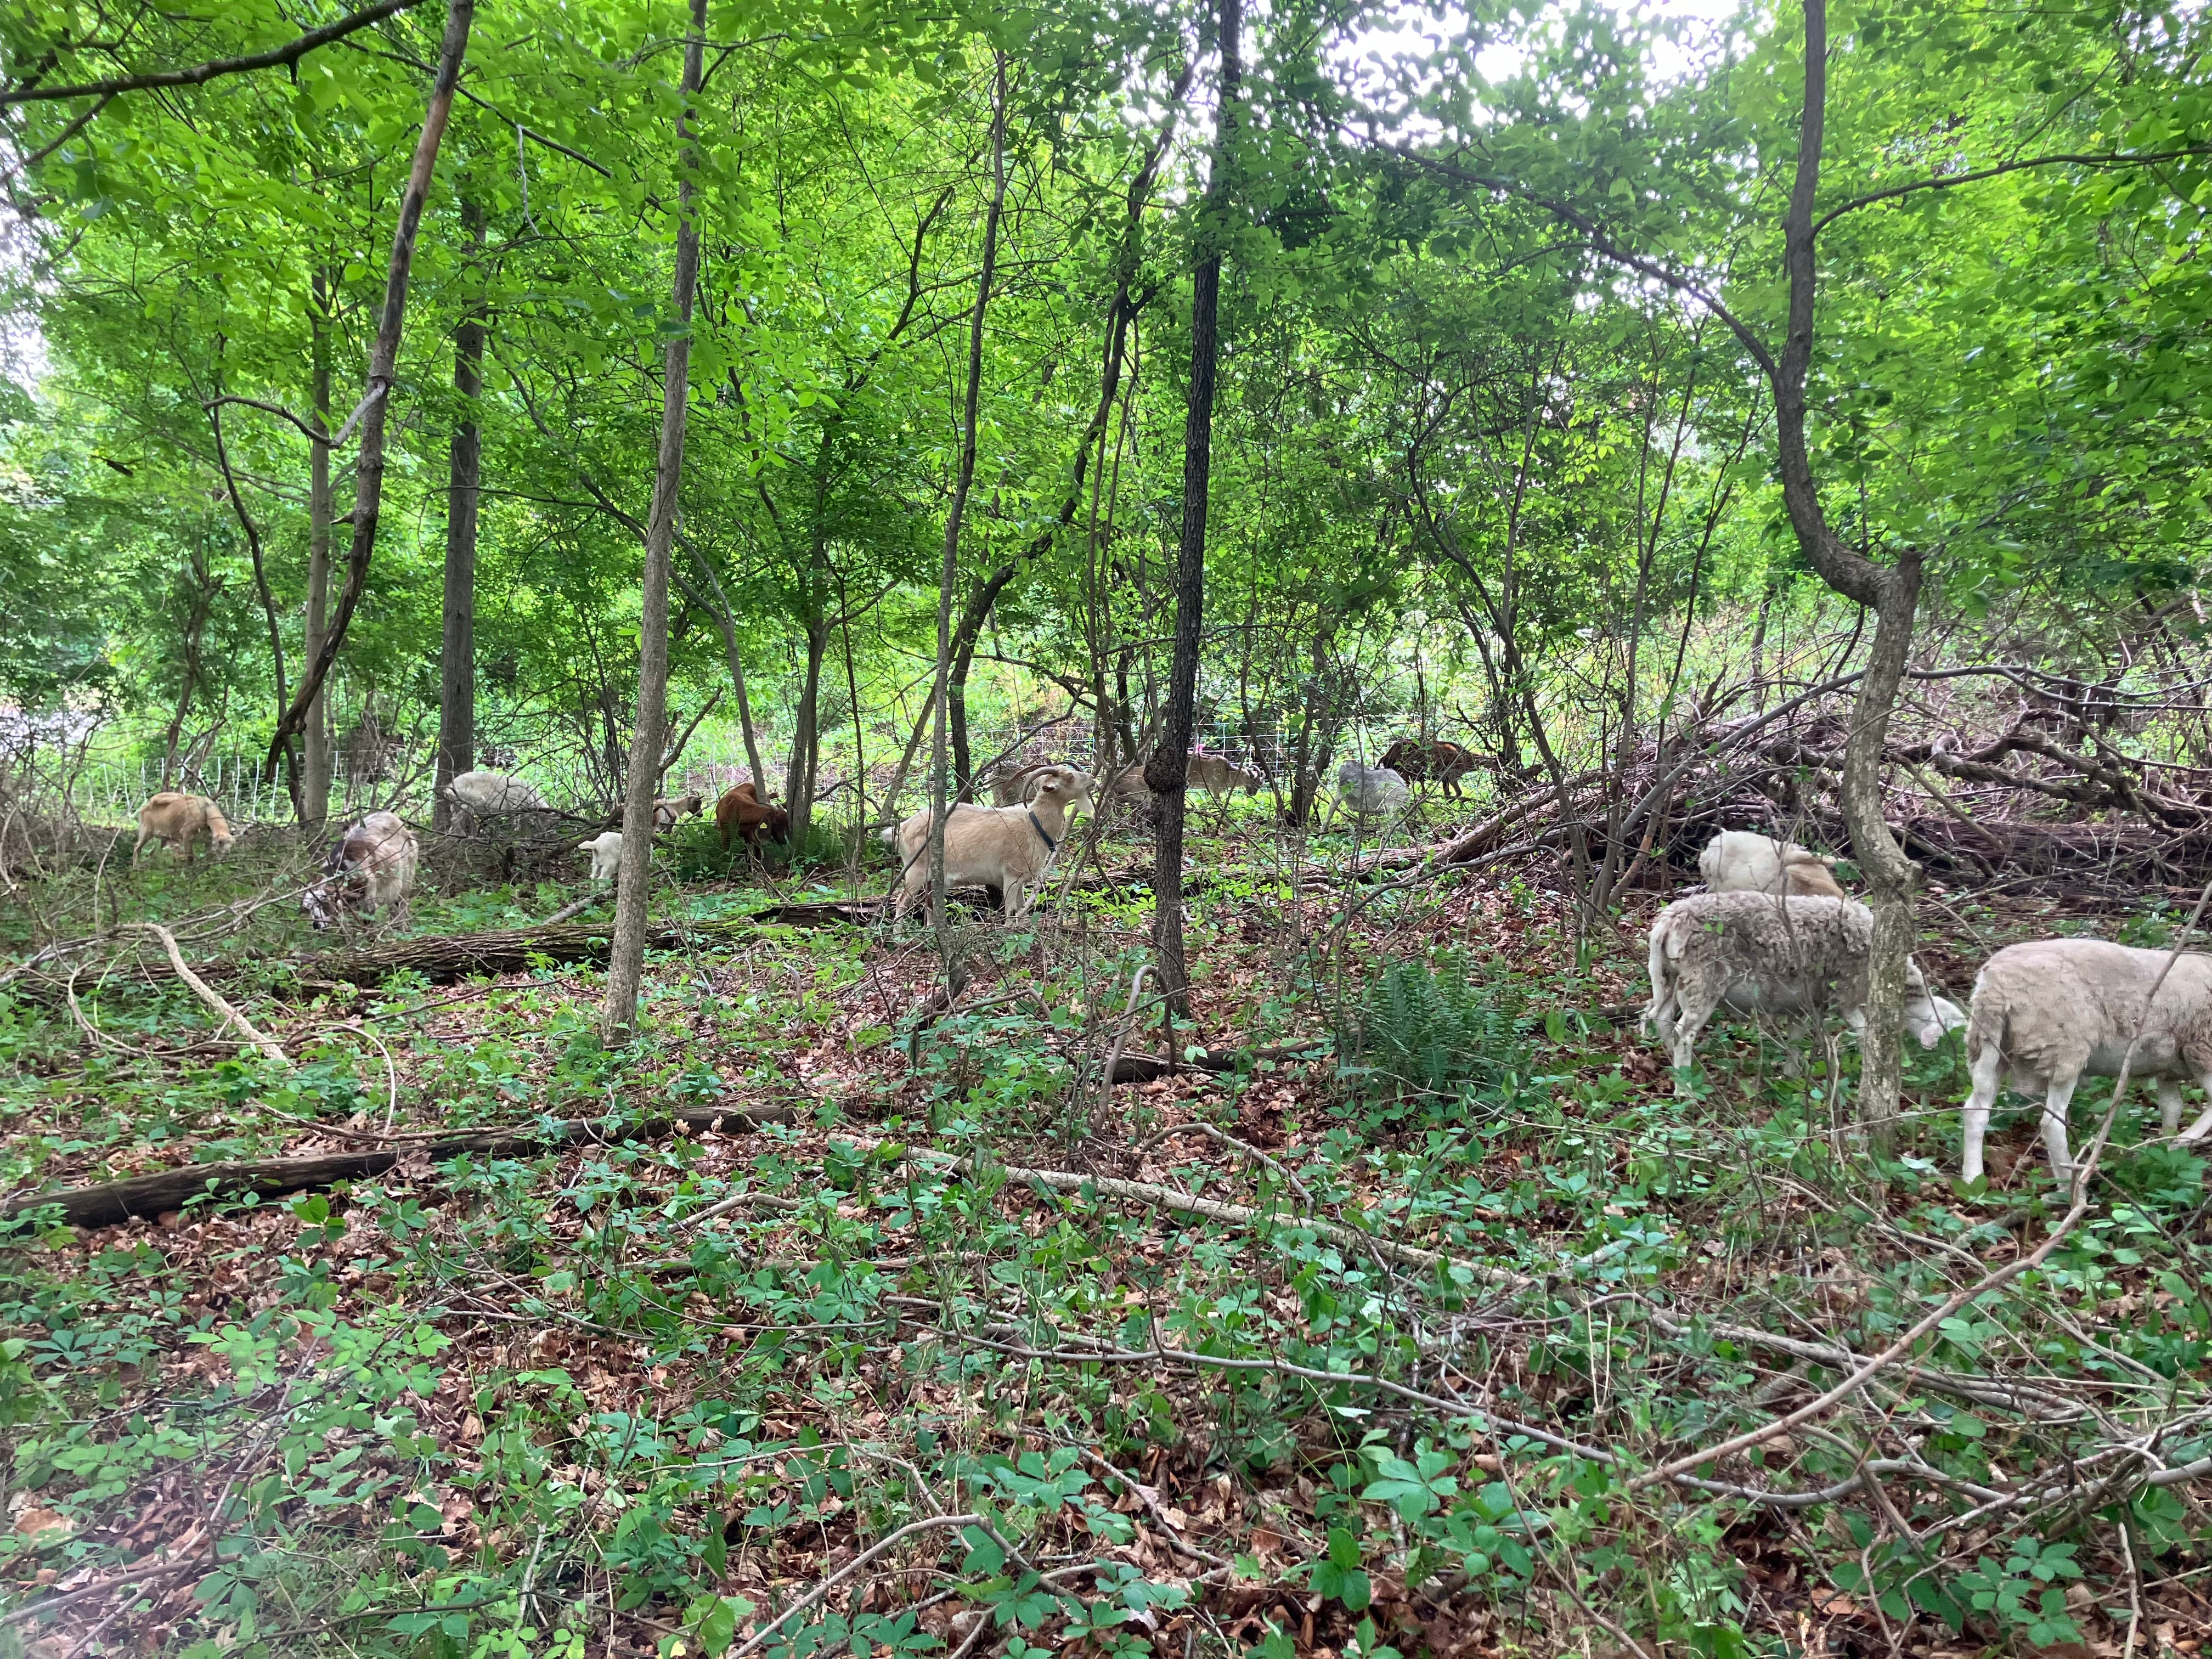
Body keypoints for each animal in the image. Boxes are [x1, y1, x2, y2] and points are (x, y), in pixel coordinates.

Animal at [133, 792, 235, 862]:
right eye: (219, 848)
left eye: (228, 852)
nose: (222, 861)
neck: (206, 812)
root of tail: (146, 806)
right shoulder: (186, 835)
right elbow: (190, 858)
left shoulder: (208, 840)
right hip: (146, 831)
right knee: (137, 848)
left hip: (161, 837)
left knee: (154, 852)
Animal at [303, 811, 418, 930]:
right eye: (307, 908)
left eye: (325, 904)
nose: (316, 925)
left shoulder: (369, 895)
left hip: (407, 878)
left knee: (403, 904)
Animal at [884, 764, 1094, 923]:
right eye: (1069, 776)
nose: (1093, 778)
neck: (1034, 824)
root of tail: (903, 828)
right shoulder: (1011, 876)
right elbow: (1011, 911)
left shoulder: (1022, 879)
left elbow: (1021, 910)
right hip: (915, 871)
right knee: (901, 902)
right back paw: (898, 936)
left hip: (932, 878)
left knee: (930, 905)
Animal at [1643, 891, 1961, 1071]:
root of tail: (1668, 921)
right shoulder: (1848, 993)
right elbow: (1864, 1033)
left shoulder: (1802, 1003)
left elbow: (1795, 1038)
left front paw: (1793, 1073)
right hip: (1704, 980)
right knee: (1684, 1034)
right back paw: (1686, 1087)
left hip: (1672, 977)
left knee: (1661, 1018)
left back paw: (1677, 1065)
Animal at [1960, 938, 2212, 1184]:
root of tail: (1998, 987)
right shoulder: (2202, 1050)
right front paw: (2182, 1141)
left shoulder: (2168, 1069)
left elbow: (2171, 1108)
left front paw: (2165, 1150)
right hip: (2063, 1048)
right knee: (2051, 1123)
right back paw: (2067, 1182)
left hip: (1989, 1044)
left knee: (1975, 1111)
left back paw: (1973, 1178)